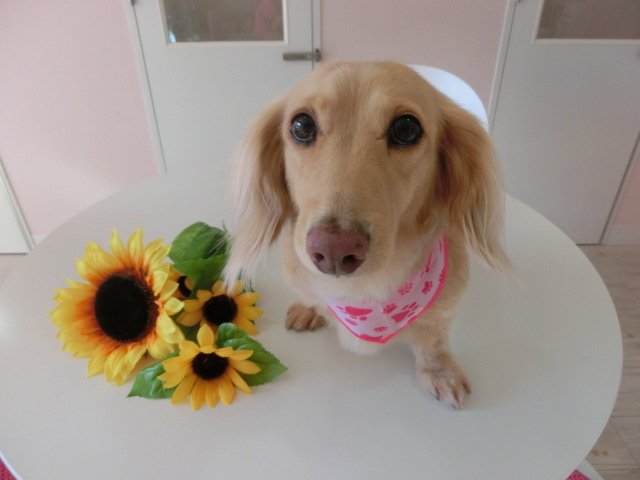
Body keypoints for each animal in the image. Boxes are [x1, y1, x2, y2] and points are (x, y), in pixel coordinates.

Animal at [224, 61, 509, 409]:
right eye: (302, 125)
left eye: (406, 128)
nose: (333, 249)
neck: (361, 294)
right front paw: (309, 307)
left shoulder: (444, 309)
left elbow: (433, 340)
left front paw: (441, 371)